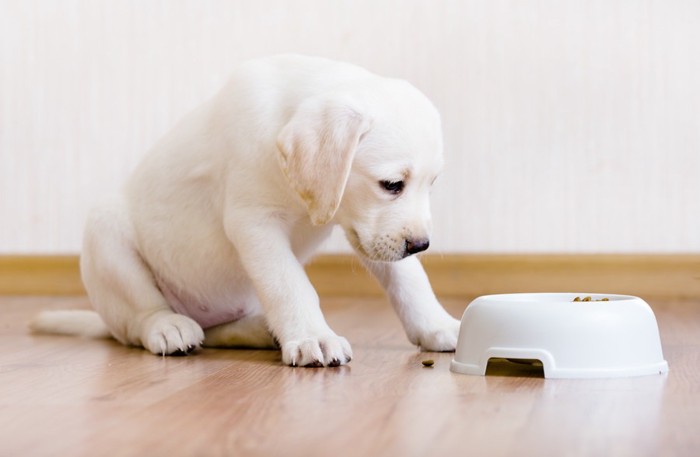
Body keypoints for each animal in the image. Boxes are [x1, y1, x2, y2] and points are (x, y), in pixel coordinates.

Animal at [31, 54, 460, 366]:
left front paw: (438, 326)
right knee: (141, 318)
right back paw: (169, 326)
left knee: (216, 331)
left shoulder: (363, 228)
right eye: (391, 185)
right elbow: (289, 284)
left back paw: (260, 331)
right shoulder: (255, 223)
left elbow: (409, 279)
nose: (420, 244)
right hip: (105, 233)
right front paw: (313, 336)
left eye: (432, 184)